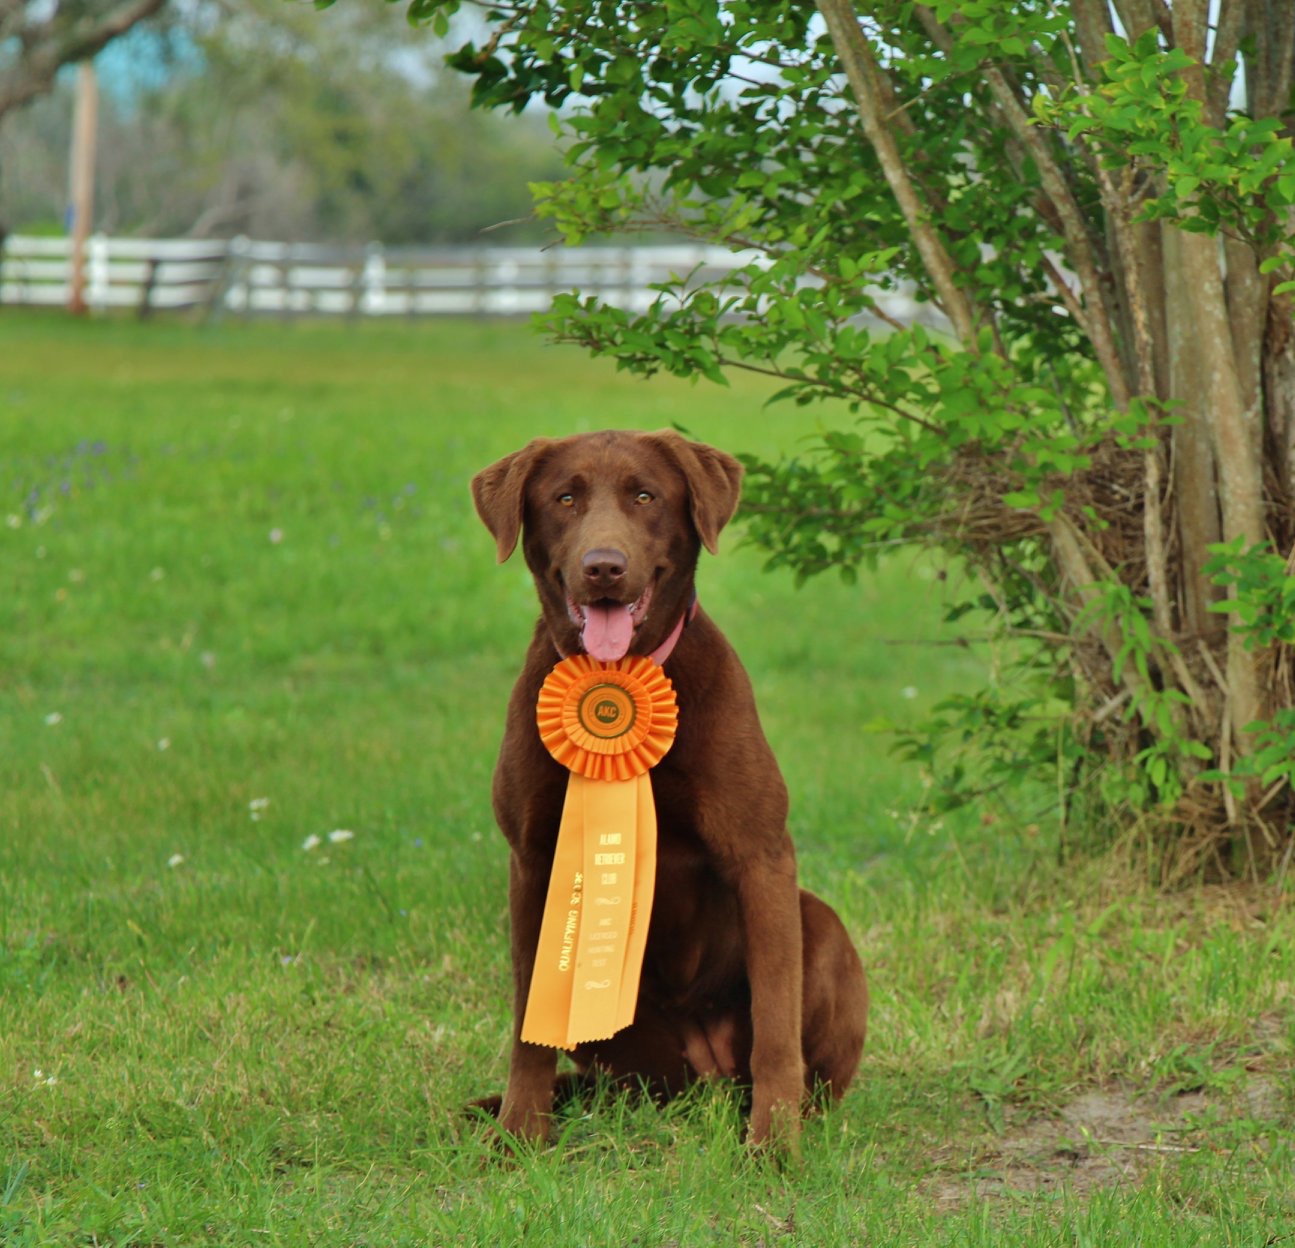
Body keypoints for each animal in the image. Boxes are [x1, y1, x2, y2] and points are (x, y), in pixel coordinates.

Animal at [471, 432, 865, 1149]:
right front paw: (518, 1136)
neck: (619, 673)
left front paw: (774, 1148)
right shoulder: (533, 861)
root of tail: (706, 1073)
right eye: (564, 498)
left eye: (644, 495)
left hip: (819, 927)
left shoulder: (761, 855)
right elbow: (527, 1028)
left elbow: (775, 1029)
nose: (603, 567)